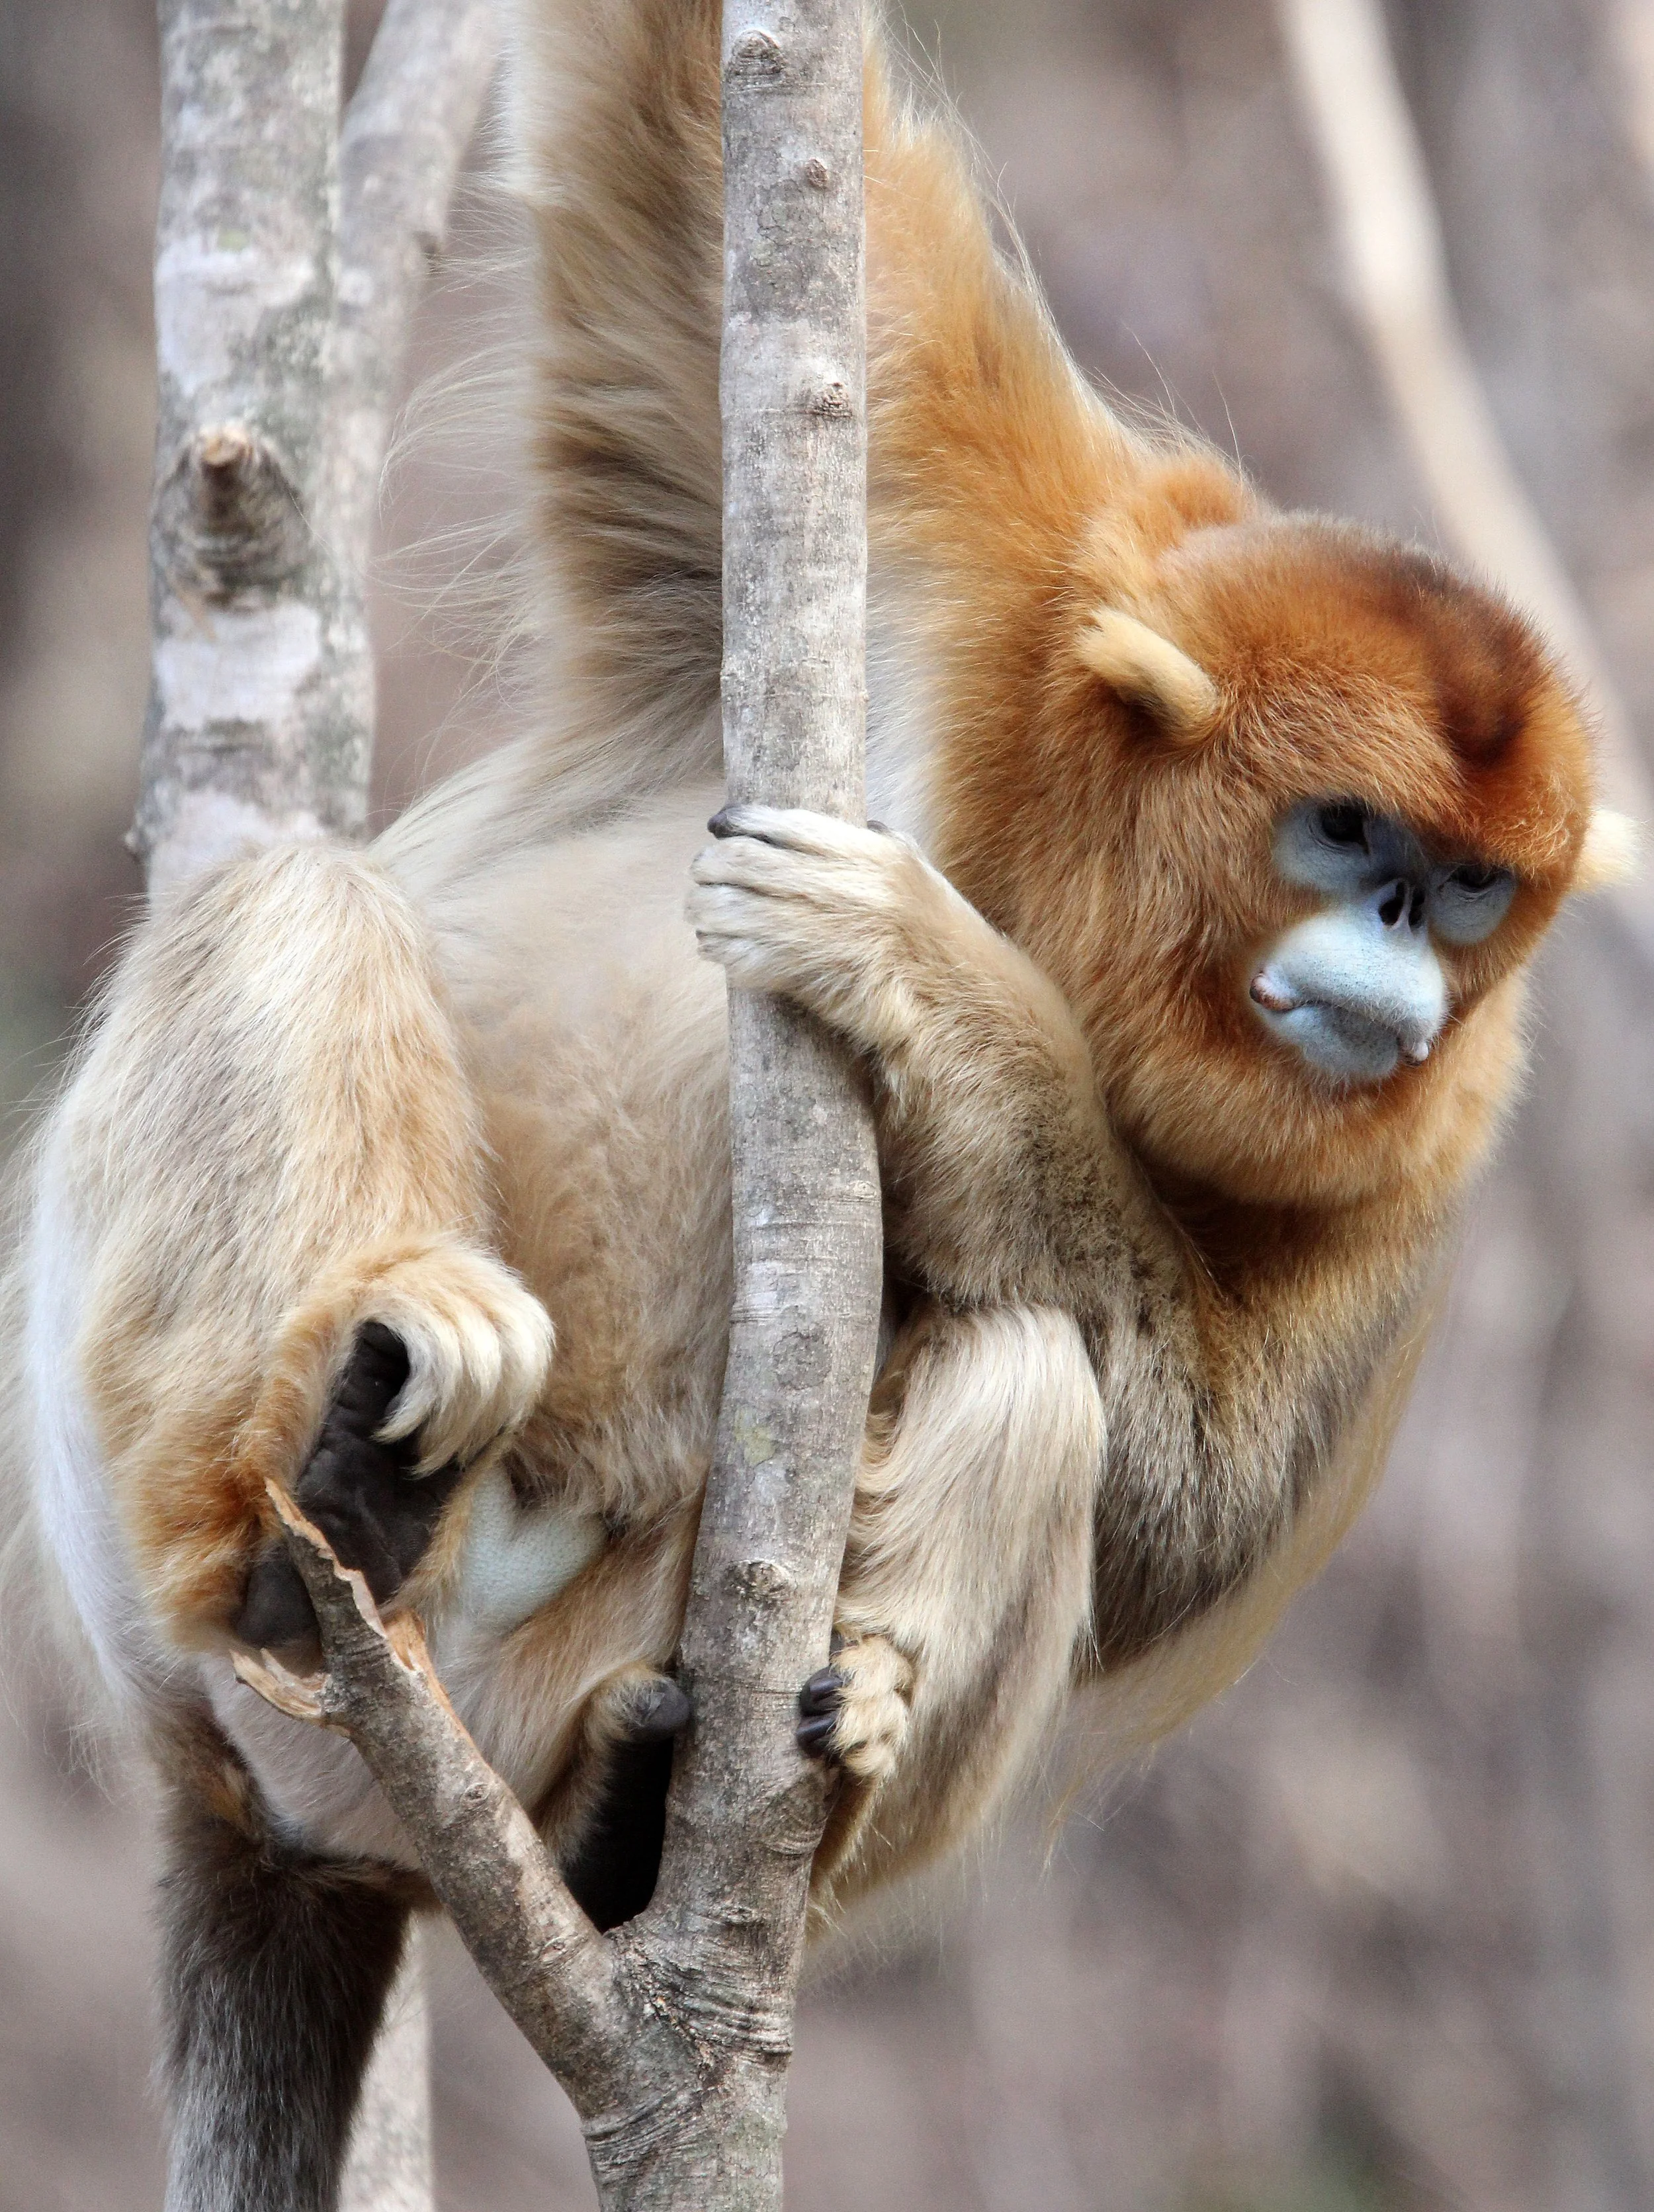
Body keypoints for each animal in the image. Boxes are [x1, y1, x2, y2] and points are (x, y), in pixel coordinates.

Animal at [5, 0, 1633, 2205]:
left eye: (1463, 886)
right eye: (1346, 835)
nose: (1401, 956)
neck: (1064, 857)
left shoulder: (1433, 1150)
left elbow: (1185, 1512)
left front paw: (945, 1005)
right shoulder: (976, 505)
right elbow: (666, 103)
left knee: (1038, 1377)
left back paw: (672, 1811)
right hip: (168, 1593)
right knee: (294, 899)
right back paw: (296, 1529)